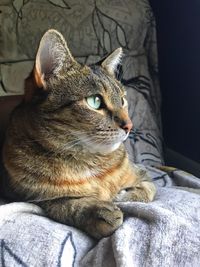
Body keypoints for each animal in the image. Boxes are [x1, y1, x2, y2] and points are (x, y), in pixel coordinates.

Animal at [1, 29, 156, 241]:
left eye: (123, 100)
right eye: (95, 101)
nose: (129, 125)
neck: (89, 162)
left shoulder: (143, 174)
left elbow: (149, 189)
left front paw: (123, 195)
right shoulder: (30, 197)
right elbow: (66, 203)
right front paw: (98, 212)